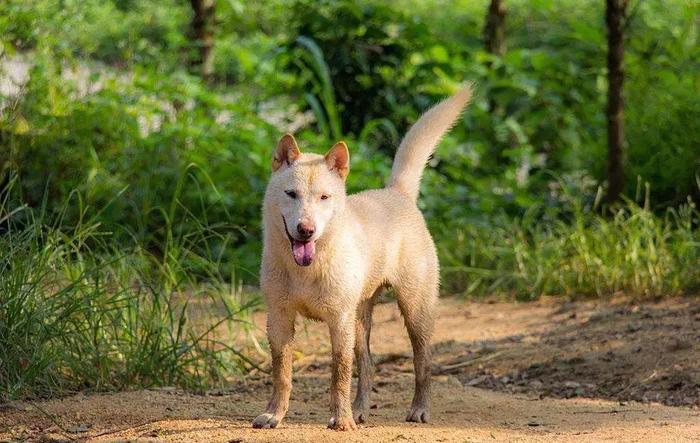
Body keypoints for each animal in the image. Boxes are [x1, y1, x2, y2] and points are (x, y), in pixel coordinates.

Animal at [252, 84, 470, 430]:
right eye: (291, 194)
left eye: (324, 197)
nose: (306, 230)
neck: (307, 269)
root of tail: (397, 192)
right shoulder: (279, 318)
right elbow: (281, 373)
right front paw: (275, 414)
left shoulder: (339, 321)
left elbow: (339, 375)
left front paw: (340, 420)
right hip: (360, 317)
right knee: (367, 365)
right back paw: (359, 410)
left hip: (415, 310)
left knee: (423, 362)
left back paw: (418, 409)